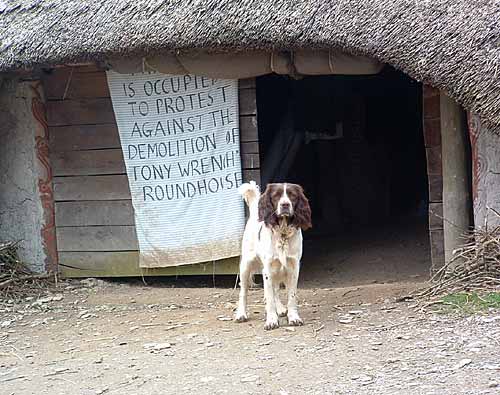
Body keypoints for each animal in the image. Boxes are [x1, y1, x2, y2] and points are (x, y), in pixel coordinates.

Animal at [235, 183, 312, 332]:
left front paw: (293, 317)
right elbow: (269, 298)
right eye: (276, 195)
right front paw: (271, 321)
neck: (282, 233)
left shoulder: (293, 268)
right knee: (243, 292)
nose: (285, 205)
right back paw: (241, 314)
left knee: (275, 289)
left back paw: (281, 308)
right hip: (246, 266)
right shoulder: (268, 269)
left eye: (292, 195)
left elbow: (291, 296)